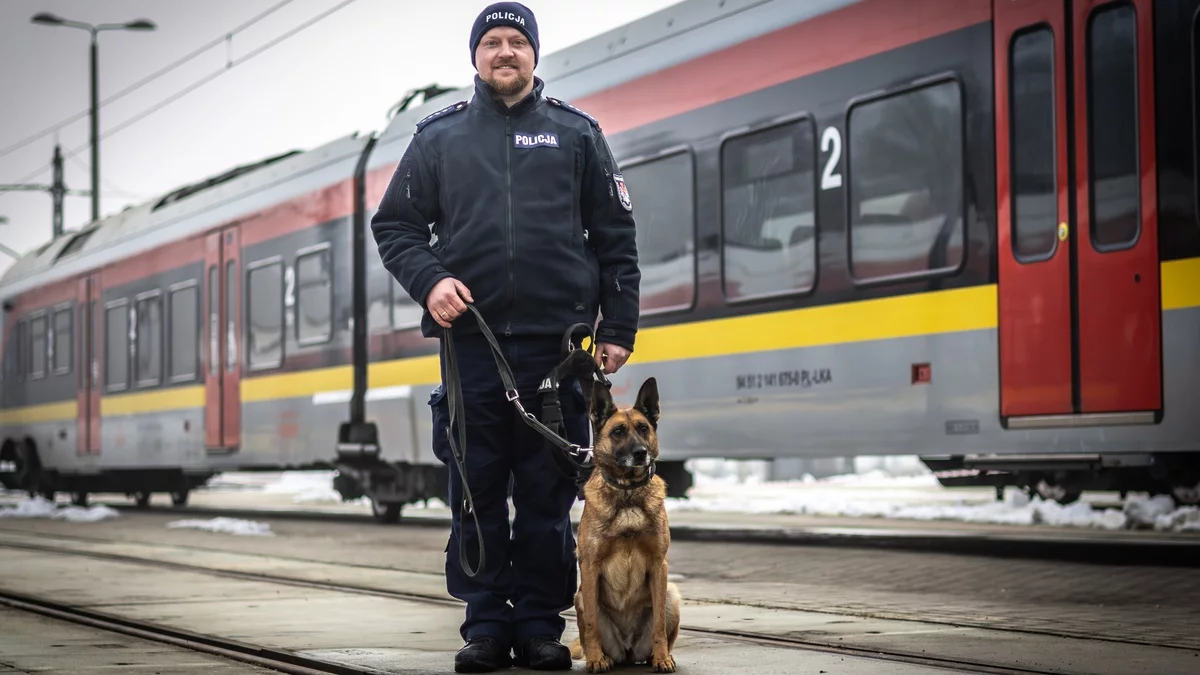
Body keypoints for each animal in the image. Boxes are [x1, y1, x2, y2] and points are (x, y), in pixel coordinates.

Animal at [568, 374, 681, 667]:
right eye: (618, 432)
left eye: (643, 428)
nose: (641, 453)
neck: (628, 492)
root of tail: (628, 651)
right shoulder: (590, 566)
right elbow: (592, 624)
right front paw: (596, 660)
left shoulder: (659, 564)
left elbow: (658, 626)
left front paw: (662, 659)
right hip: (580, 597)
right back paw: (601, 656)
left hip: (671, 594)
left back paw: (658, 655)